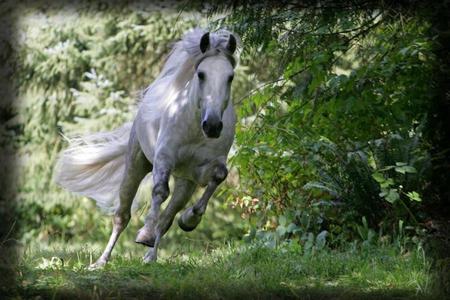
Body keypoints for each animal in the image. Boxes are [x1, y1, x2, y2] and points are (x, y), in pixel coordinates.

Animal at [54, 28, 239, 268]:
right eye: (201, 74)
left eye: (230, 77)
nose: (213, 125)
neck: (195, 129)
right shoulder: (163, 159)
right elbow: (159, 191)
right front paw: (145, 234)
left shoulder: (205, 167)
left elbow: (218, 176)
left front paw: (189, 220)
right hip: (135, 164)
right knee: (121, 216)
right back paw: (101, 262)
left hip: (185, 182)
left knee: (167, 218)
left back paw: (151, 256)